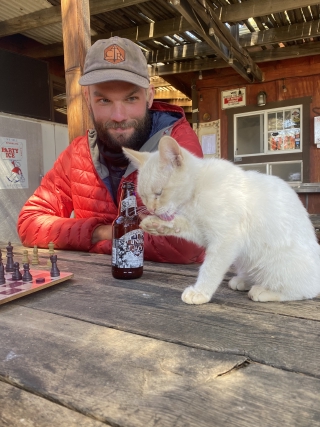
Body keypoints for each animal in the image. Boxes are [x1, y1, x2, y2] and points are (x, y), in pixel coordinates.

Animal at [123, 136, 320, 304]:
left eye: (159, 193)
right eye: (143, 196)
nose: (150, 209)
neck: (196, 190)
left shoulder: (226, 238)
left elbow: (210, 267)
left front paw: (200, 292)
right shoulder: (201, 232)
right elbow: (180, 225)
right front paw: (156, 224)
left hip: (278, 264)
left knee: (303, 290)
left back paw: (264, 290)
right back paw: (244, 281)